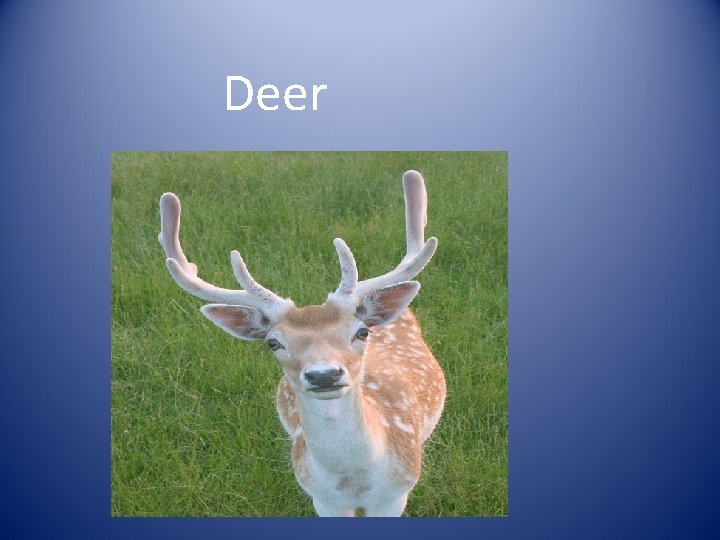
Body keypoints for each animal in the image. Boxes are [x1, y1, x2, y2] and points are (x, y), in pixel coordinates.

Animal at [157, 170, 446, 517]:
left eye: (362, 332)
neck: (354, 479)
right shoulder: (320, 497)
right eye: (273, 343)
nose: (324, 375)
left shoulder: (396, 493)